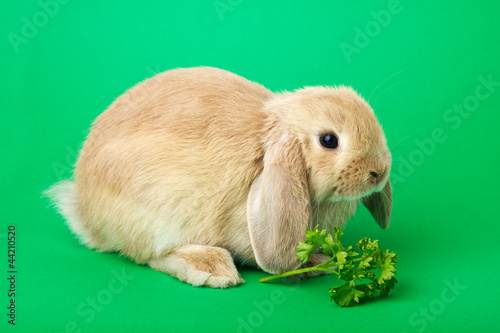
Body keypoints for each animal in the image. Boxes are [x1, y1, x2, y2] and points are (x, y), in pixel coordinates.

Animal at [45, 65, 390, 288]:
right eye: (329, 140)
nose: (379, 172)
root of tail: (84, 211)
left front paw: (317, 262)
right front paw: (309, 266)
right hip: (156, 214)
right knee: (152, 255)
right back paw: (212, 269)